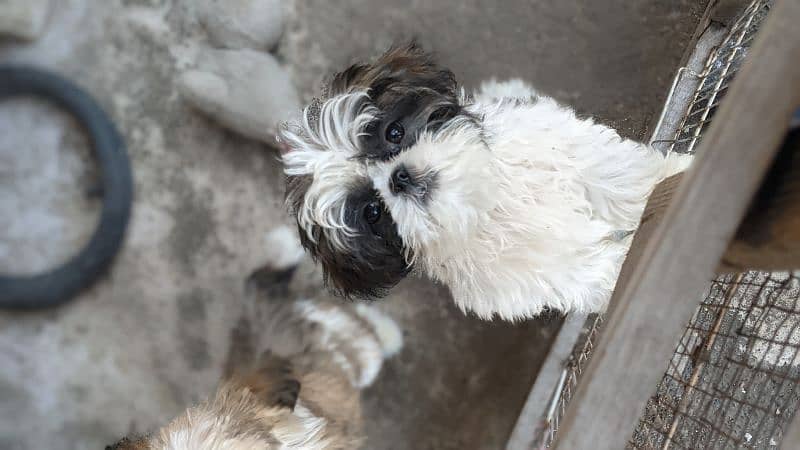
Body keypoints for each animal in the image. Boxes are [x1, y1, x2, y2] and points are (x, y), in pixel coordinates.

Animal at [280, 44, 688, 322]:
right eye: (373, 212)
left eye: (394, 133)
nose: (400, 177)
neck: (481, 202)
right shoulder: (544, 275)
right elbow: (596, 273)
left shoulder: (574, 152)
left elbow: (624, 180)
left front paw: (679, 177)